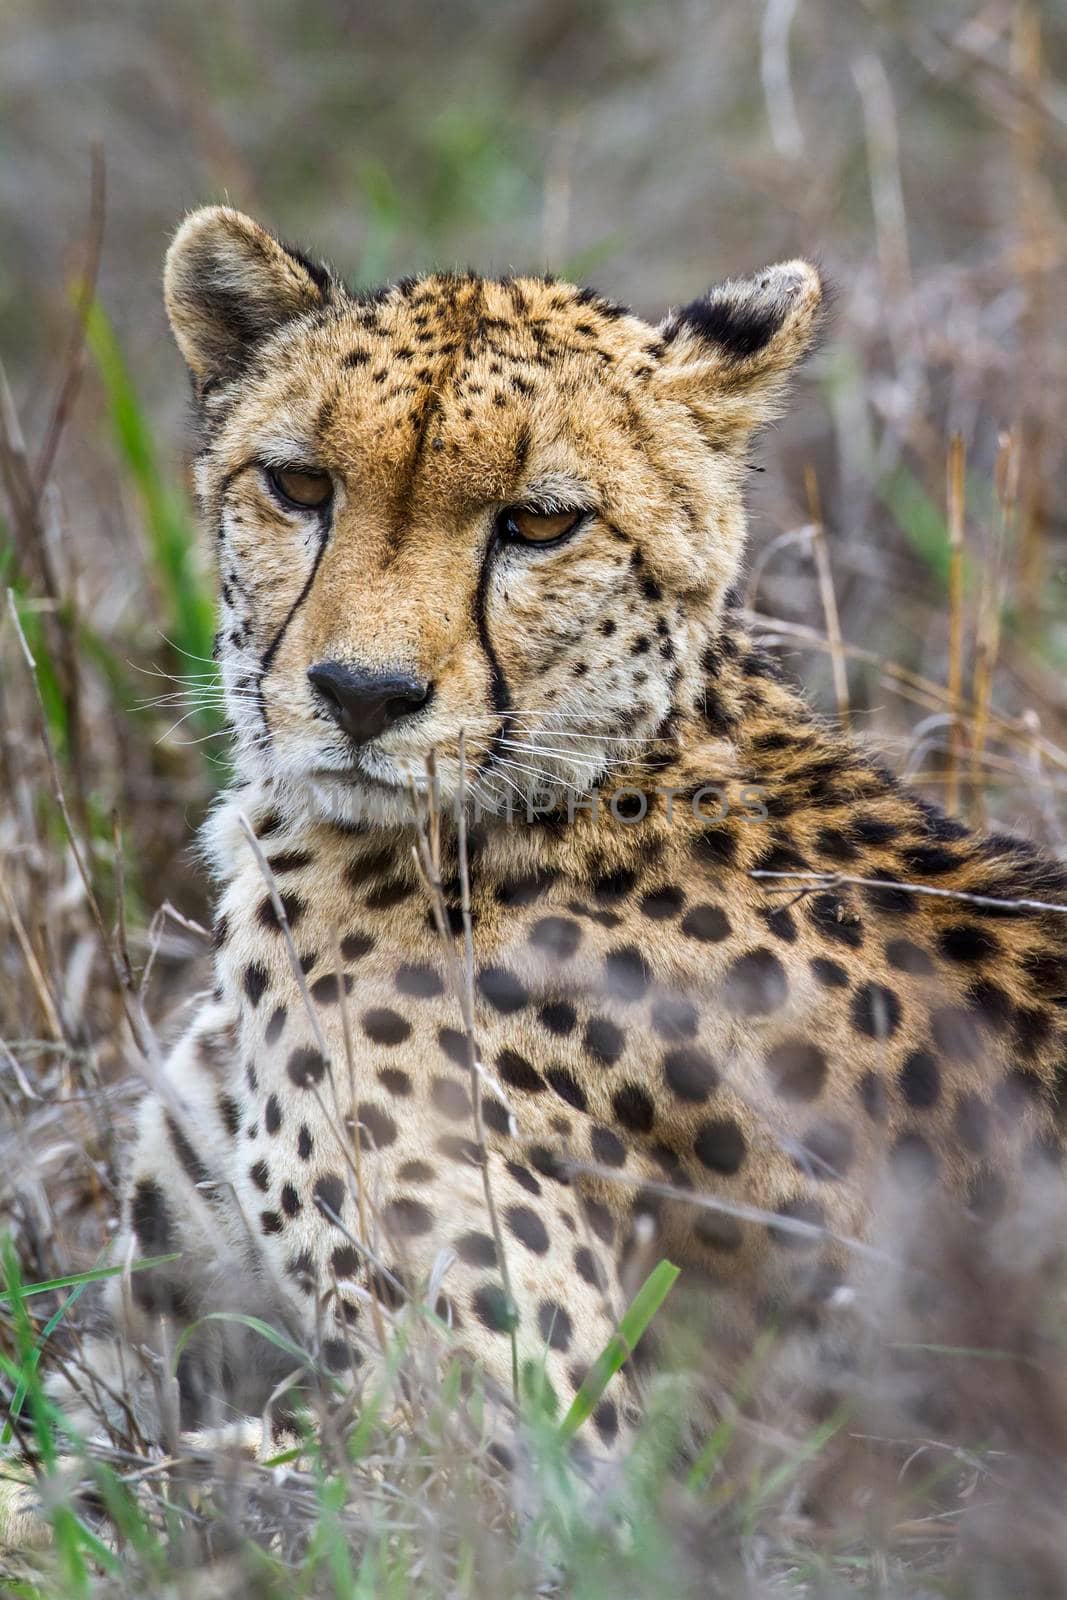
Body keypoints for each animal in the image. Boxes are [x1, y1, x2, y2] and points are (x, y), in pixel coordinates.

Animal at [8, 206, 1067, 1529]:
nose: (362, 696)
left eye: (540, 521)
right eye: (298, 485)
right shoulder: (154, 1342)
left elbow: (140, 1499)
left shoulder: (534, 1458)